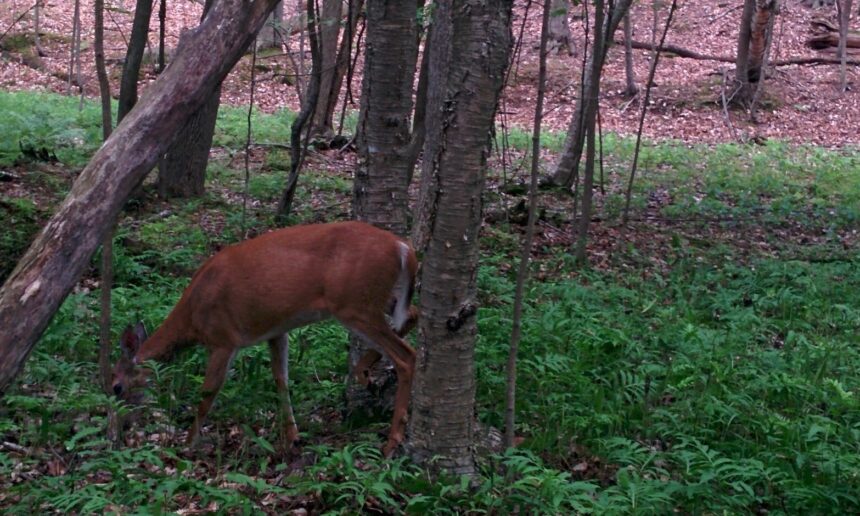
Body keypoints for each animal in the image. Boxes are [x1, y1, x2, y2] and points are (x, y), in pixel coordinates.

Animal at [111, 221, 420, 456]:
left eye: (116, 387)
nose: (119, 430)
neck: (192, 319)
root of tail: (404, 248)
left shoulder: (223, 338)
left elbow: (208, 393)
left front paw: (187, 444)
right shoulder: (276, 330)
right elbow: (280, 379)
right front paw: (292, 437)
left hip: (354, 303)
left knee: (407, 355)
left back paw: (392, 440)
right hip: (376, 299)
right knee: (412, 315)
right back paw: (364, 373)